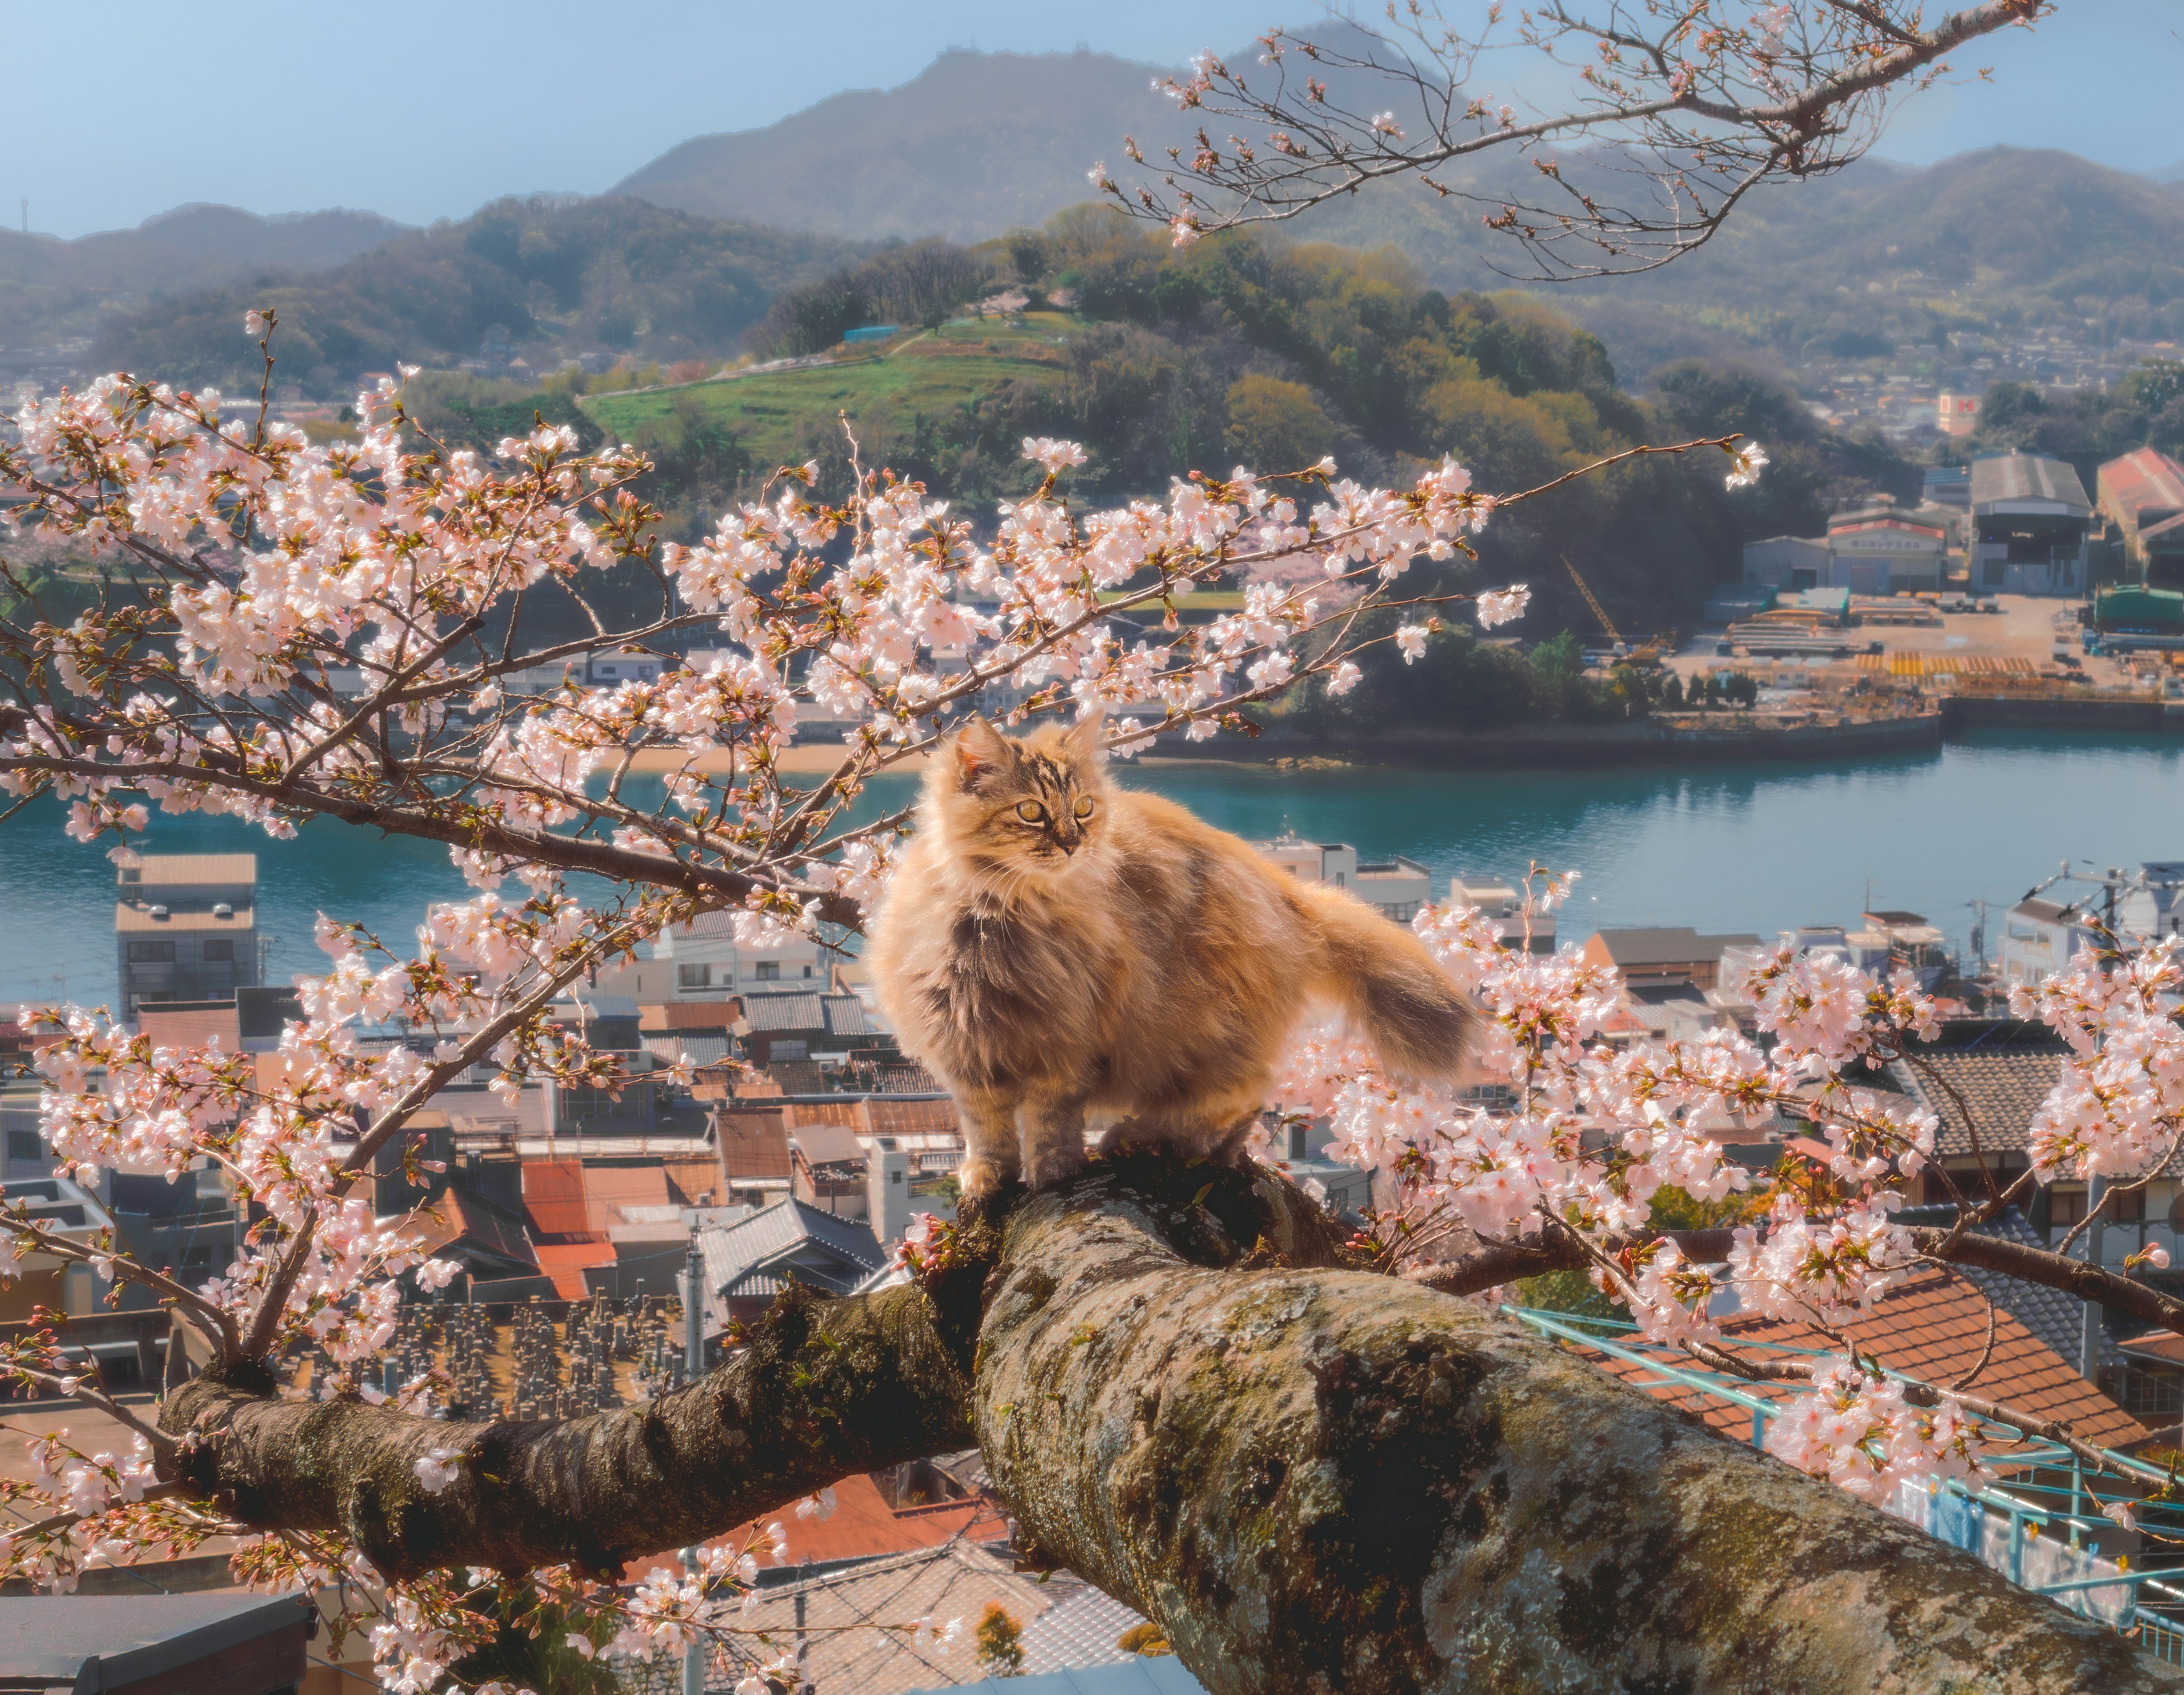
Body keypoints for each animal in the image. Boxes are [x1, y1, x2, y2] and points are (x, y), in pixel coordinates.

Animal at [860, 716, 1476, 1205]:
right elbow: (986, 1130)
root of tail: (1289, 894)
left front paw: (1053, 1174)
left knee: (1240, 1097)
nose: (1072, 843)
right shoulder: (968, 1048)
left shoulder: (1063, 1044)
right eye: (1031, 811)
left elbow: (1051, 1121)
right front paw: (988, 1179)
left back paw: (1145, 1138)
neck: (996, 919)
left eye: (1084, 808)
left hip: (1206, 1031)